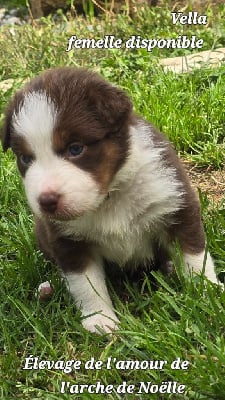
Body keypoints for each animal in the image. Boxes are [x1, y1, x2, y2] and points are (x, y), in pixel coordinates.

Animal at [0, 67, 220, 332]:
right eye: (25, 158)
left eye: (76, 148)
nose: (46, 201)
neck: (109, 197)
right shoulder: (69, 241)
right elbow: (86, 284)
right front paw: (100, 321)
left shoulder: (176, 205)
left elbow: (194, 256)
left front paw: (208, 292)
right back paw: (46, 289)